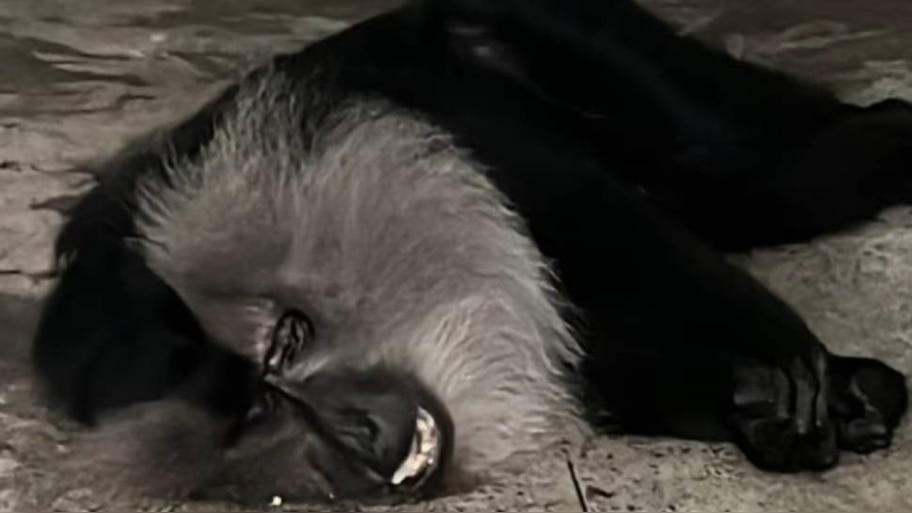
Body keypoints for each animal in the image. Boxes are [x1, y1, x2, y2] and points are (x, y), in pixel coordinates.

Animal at [30, 0, 911, 505]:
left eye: (289, 339)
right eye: (256, 409)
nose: (356, 437)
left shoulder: (435, 129)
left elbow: (599, 222)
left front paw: (787, 369)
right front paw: (778, 406)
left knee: (752, 177)